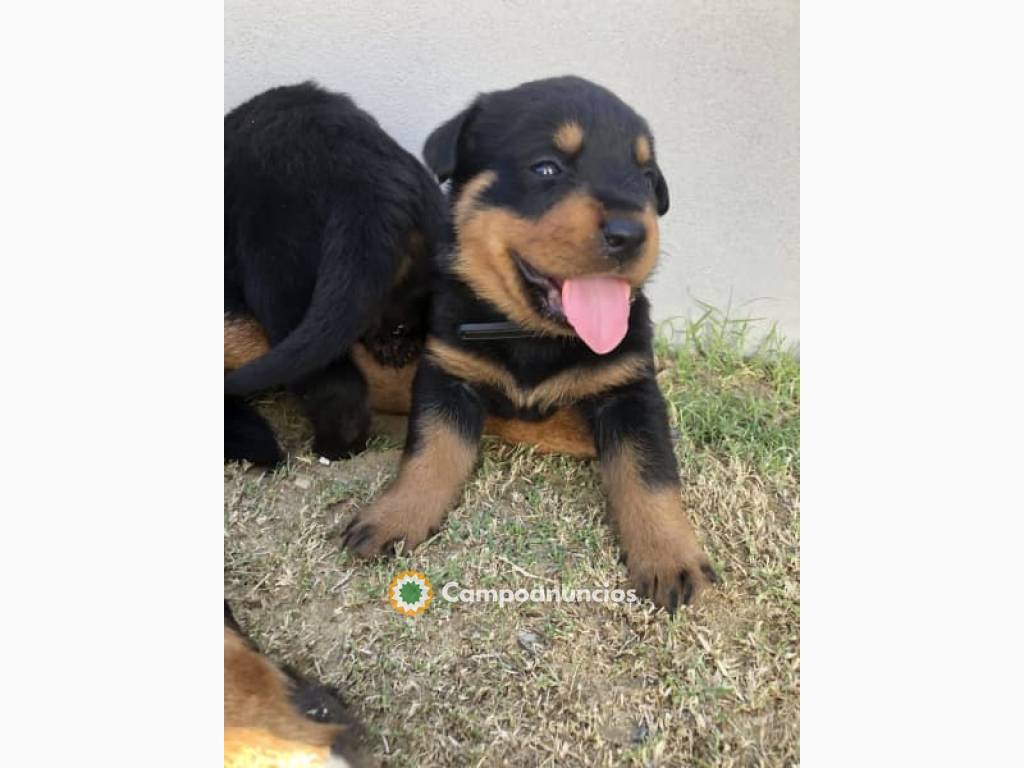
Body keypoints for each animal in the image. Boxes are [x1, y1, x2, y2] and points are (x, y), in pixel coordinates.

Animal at [339, 75, 716, 610]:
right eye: (547, 168)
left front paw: (669, 555)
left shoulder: (630, 388)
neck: (531, 333)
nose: (632, 233)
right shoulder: (448, 373)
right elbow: (431, 449)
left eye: (646, 177)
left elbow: (650, 471)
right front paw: (396, 514)